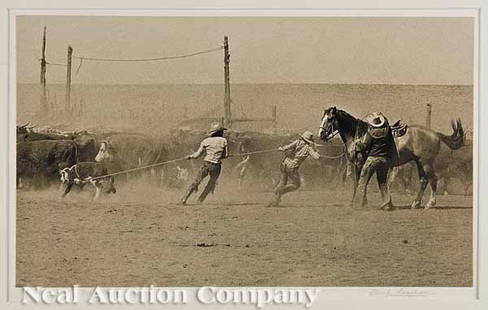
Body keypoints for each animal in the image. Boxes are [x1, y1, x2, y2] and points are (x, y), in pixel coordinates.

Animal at [318, 107, 464, 211]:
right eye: (322, 118)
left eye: (330, 119)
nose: (321, 134)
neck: (358, 134)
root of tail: (435, 134)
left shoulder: (359, 164)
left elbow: (358, 182)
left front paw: (357, 202)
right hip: (419, 163)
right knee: (423, 181)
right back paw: (415, 203)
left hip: (426, 162)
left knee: (433, 180)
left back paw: (430, 204)